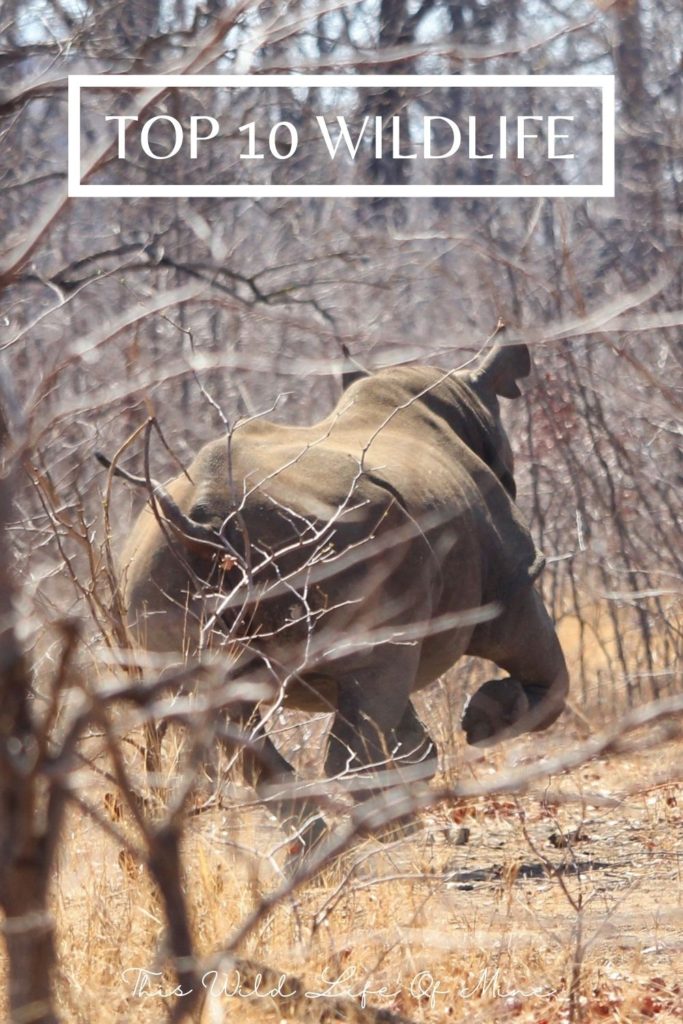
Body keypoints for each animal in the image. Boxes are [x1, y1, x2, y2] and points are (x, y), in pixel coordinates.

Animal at [109, 341, 568, 851]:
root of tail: (202, 521)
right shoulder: (516, 579)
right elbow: (550, 671)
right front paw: (484, 723)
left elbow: (401, 728)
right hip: (340, 543)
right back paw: (374, 840)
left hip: (156, 571)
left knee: (227, 716)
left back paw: (323, 846)